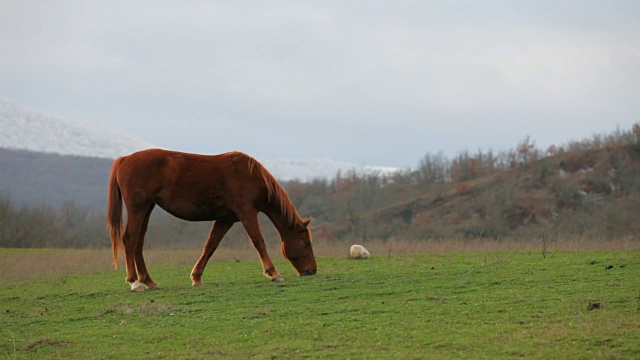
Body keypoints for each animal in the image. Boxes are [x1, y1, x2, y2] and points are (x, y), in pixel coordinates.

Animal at [107, 148, 318, 292]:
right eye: (307, 243)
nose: (313, 270)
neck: (251, 175)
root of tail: (124, 159)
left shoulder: (226, 219)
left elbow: (210, 246)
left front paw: (196, 278)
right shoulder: (247, 212)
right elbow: (259, 242)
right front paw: (274, 273)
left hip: (147, 208)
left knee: (138, 243)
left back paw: (148, 281)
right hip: (138, 207)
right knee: (129, 239)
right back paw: (134, 282)